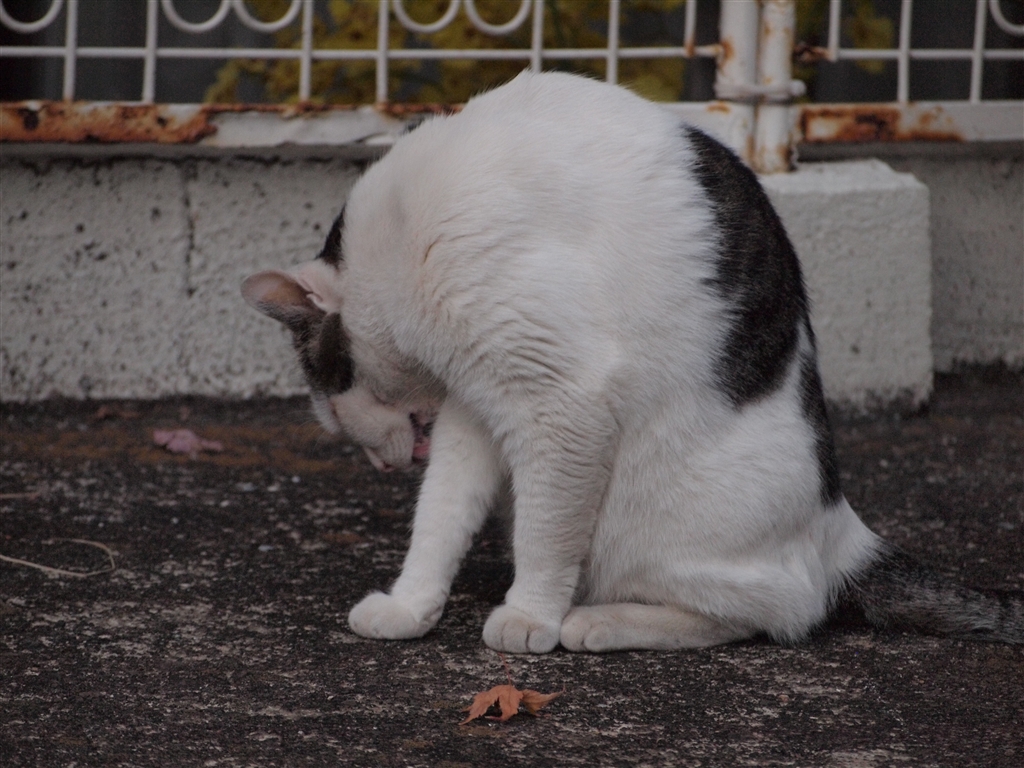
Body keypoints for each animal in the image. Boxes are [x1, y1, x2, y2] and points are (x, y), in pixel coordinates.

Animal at [242, 71, 1022, 652]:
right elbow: (441, 515)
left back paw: (597, 623)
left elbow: (545, 532)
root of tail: (838, 525)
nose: (381, 466)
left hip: (661, 523)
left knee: (774, 613)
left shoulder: (561, 398)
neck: (403, 237)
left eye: (333, 412)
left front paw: (529, 615)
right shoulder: (475, 407)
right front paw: (411, 606)